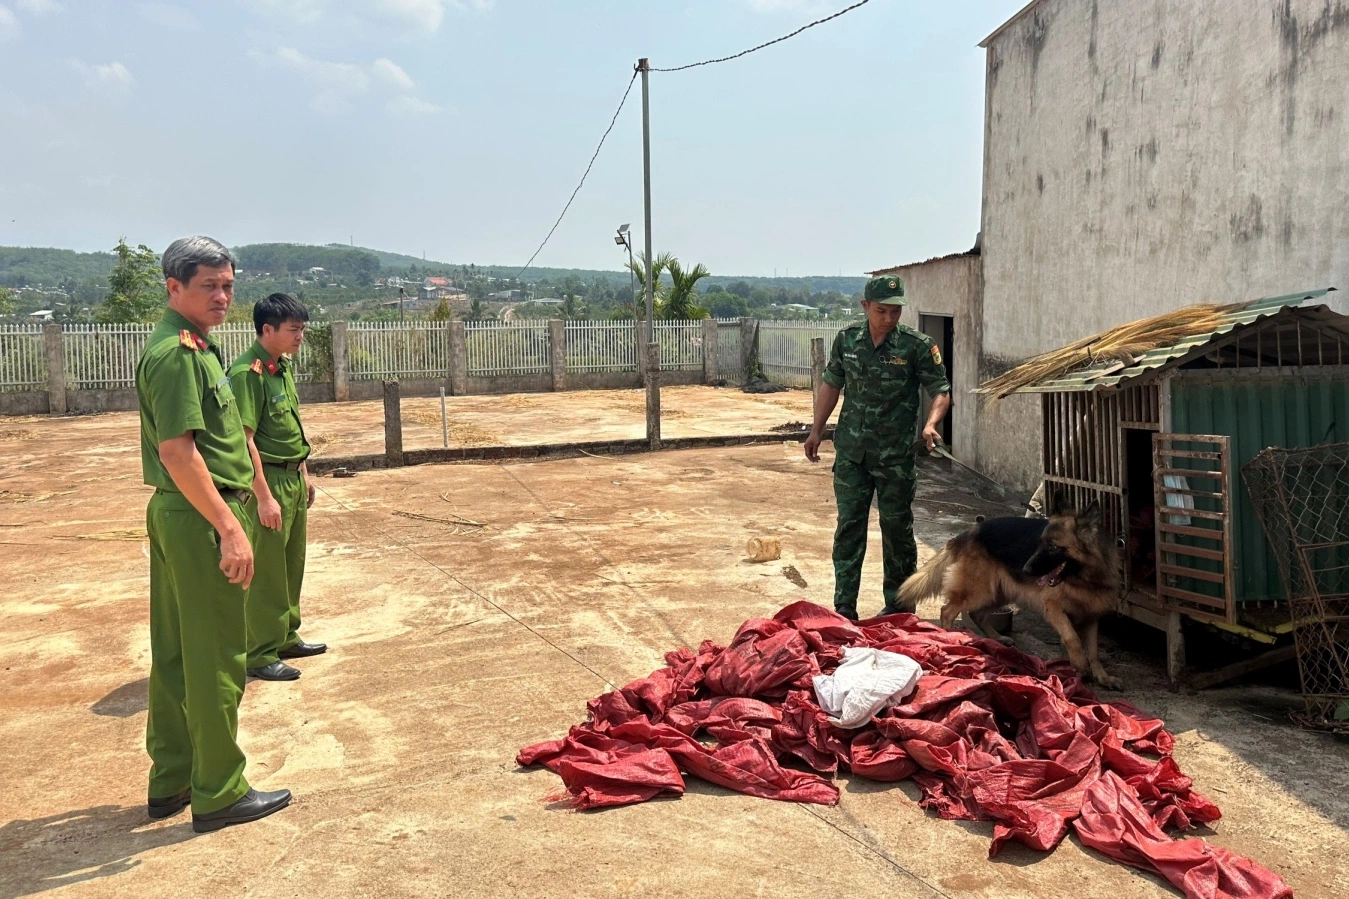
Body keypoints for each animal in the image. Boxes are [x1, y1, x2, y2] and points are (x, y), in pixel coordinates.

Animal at [895, 504, 1127, 685]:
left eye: (1053, 547)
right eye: (1040, 543)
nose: (1026, 568)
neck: (1084, 578)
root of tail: (971, 530)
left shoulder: (1091, 617)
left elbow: (1094, 650)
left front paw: (1102, 677)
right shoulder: (1053, 607)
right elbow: (1072, 637)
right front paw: (1080, 666)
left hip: (1000, 592)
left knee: (977, 614)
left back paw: (996, 639)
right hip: (980, 590)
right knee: (948, 610)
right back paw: (949, 638)